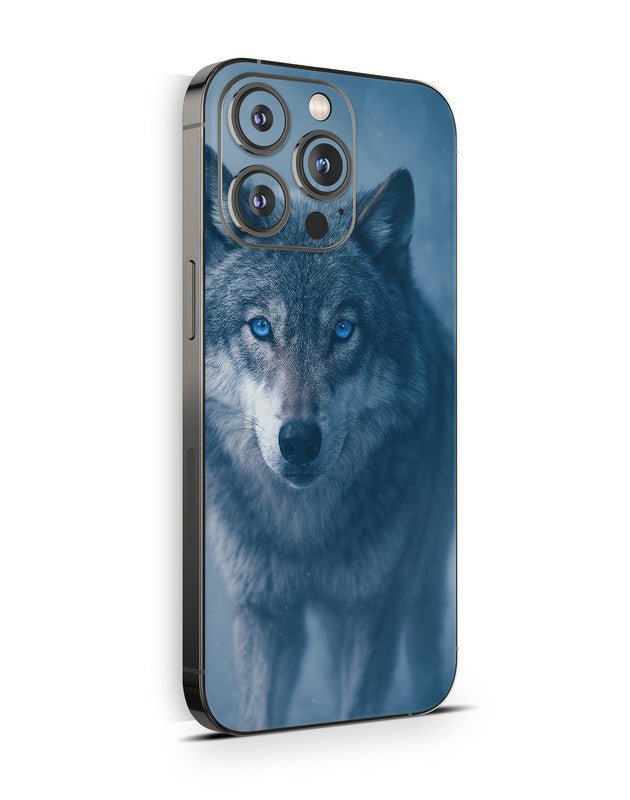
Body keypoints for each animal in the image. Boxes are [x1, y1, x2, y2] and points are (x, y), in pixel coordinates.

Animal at [203, 145, 455, 731]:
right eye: (261, 327)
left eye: (343, 330)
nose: (298, 440)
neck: (304, 531)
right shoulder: (262, 610)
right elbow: (257, 713)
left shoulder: (372, 611)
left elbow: (358, 703)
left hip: (420, 581)